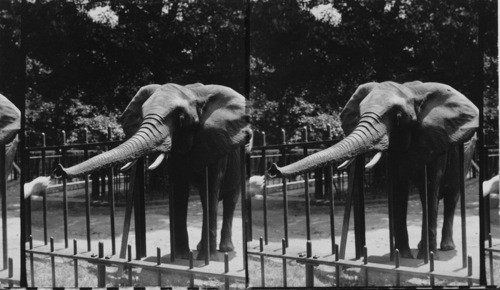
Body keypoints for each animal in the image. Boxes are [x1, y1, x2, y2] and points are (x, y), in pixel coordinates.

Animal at [53, 82, 254, 260]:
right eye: (142, 115)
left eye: (180, 118)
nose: (58, 169)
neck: (193, 92)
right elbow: (179, 191)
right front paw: (181, 257)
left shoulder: (214, 141)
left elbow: (211, 188)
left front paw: (206, 259)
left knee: (228, 199)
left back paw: (224, 249)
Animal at [270, 81, 480, 258]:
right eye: (360, 113)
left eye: (397, 116)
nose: (273, 168)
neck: (410, 90)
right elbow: (399, 189)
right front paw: (404, 255)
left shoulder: (436, 139)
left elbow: (430, 187)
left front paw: (424, 257)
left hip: (467, 153)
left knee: (451, 195)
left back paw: (445, 248)